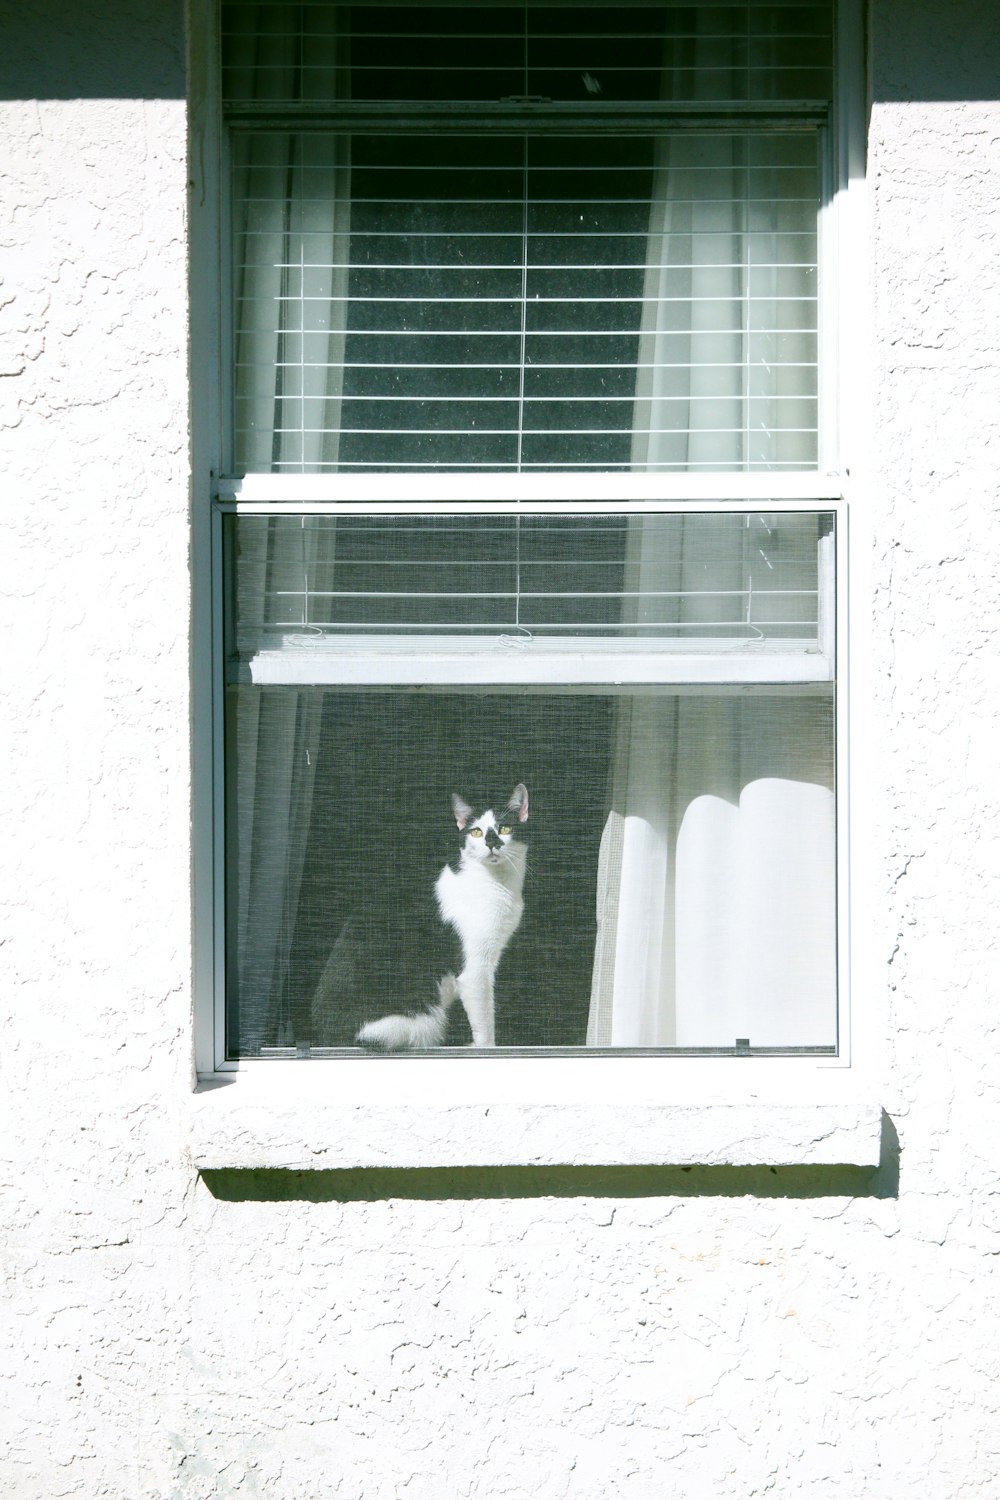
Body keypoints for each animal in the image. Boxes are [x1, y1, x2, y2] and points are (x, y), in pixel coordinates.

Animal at [313, 786, 530, 1056]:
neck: (498, 883)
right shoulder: (475, 970)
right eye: (477, 831)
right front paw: (486, 1049)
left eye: (505, 829)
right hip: (418, 1022)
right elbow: (484, 1020)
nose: (492, 843)